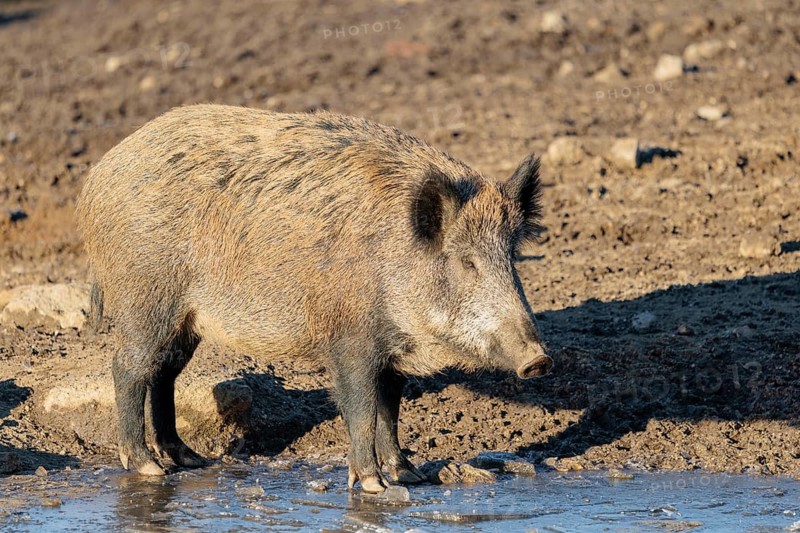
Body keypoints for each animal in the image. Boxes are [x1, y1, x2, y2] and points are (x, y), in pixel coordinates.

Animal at [77, 104, 552, 493]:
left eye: (511, 256)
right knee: (128, 367)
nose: (539, 359)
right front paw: (373, 485)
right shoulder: (350, 338)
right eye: (466, 261)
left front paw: (411, 476)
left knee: (164, 375)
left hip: (185, 320)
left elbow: (390, 408)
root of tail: (97, 178)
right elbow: (360, 407)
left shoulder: (393, 353)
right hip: (147, 299)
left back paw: (189, 460)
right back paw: (148, 467)